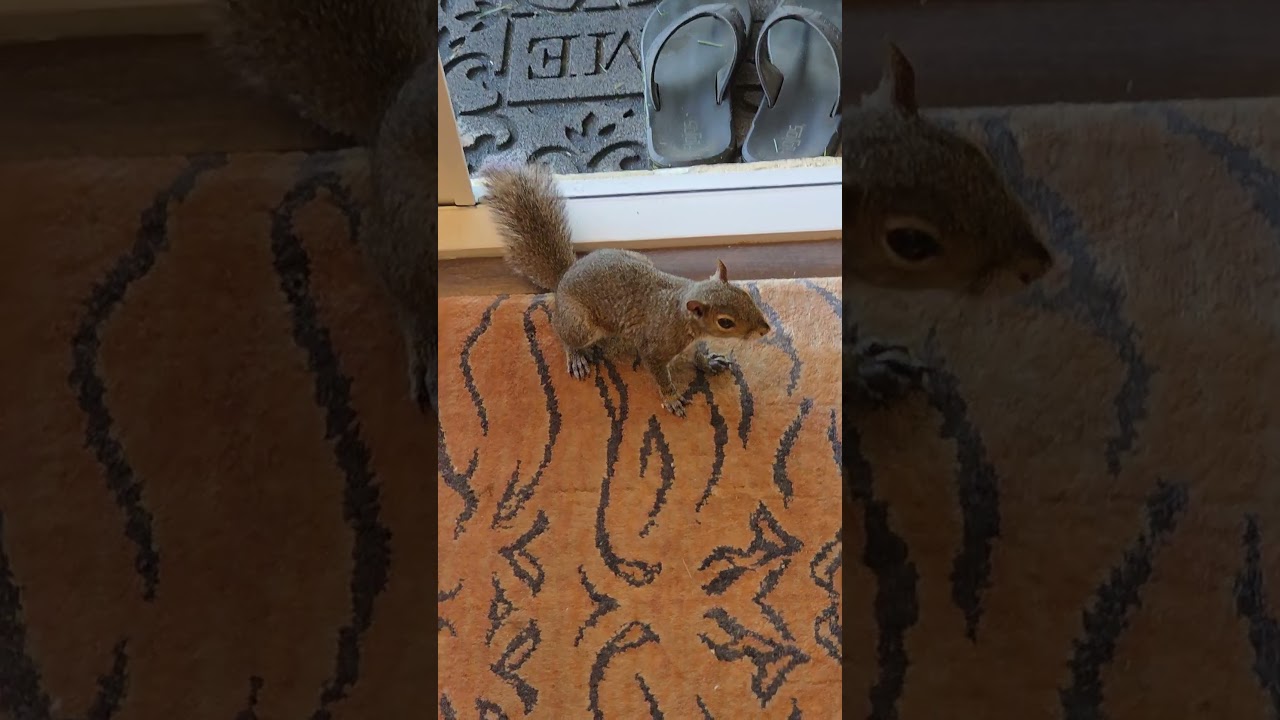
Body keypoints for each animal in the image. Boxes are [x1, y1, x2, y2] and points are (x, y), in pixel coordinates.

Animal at [480, 164, 772, 417]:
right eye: (725, 322)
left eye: (745, 295)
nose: (765, 329)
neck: (681, 314)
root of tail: (565, 277)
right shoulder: (655, 348)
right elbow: (659, 373)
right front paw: (671, 398)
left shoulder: (692, 341)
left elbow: (698, 354)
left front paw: (708, 362)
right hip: (580, 323)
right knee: (563, 332)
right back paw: (576, 356)